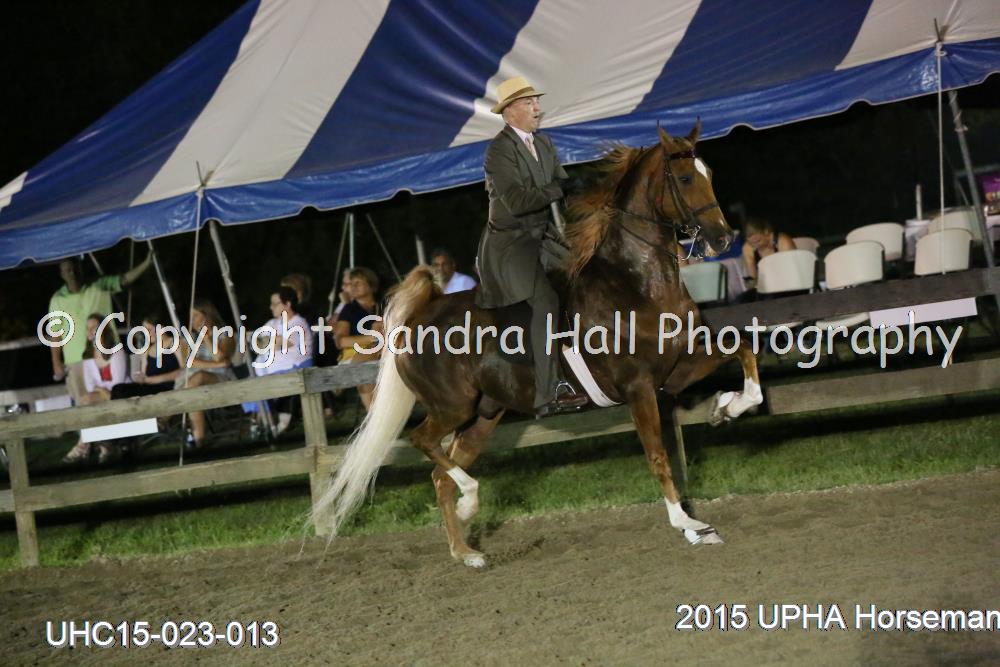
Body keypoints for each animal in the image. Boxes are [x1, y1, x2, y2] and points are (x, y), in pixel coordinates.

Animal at [313, 123, 763, 568]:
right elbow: (658, 457)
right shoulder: (639, 388)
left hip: (483, 415)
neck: (637, 283)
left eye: (709, 173)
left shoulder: (676, 371)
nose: (723, 239)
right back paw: (470, 502)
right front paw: (688, 524)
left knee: (441, 475)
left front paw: (726, 406)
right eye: (685, 178)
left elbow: (742, 350)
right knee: (423, 442)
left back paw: (467, 550)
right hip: (453, 406)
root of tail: (418, 318)